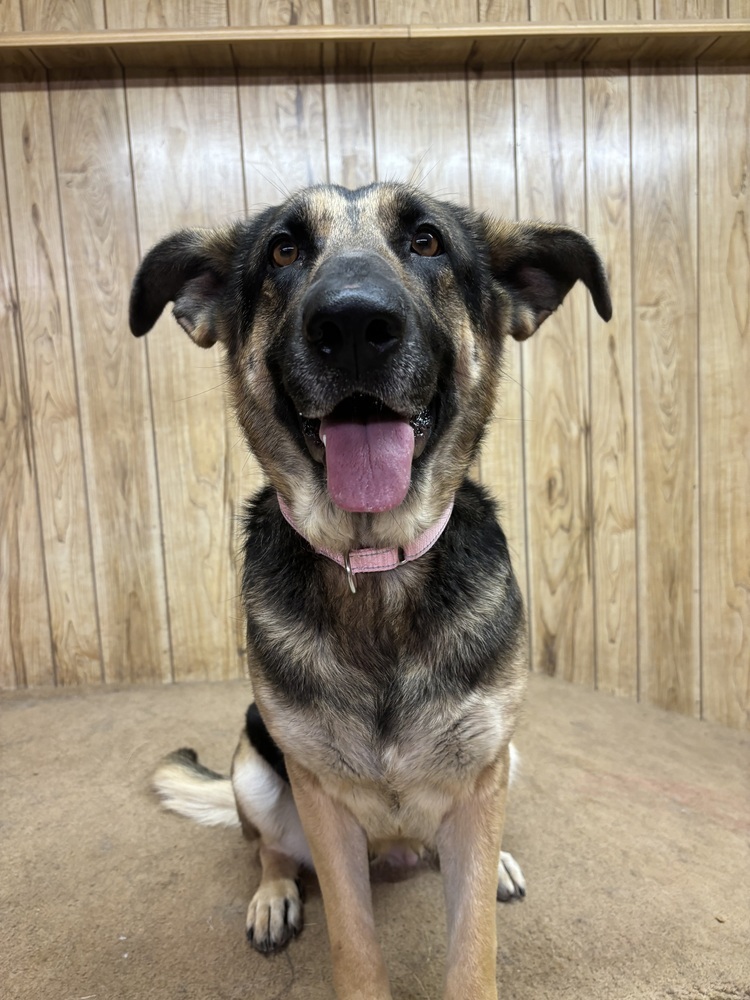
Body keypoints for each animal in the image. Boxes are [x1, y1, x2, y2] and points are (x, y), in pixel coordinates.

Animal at [129, 182, 612, 1000]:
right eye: (284, 250)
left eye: (427, 241)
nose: (353, 325)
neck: (375, 564)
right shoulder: (321, 802)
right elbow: (354, 944)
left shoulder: (482, 774)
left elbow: (472, 948)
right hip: (254, 766)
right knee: (269, 849)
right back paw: (273, 895)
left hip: (503, 760)